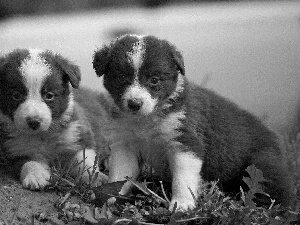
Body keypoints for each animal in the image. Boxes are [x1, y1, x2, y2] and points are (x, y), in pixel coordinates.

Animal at [0, 49, 107, 190]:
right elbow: (30, 162)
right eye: (16, 95)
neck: (44, 135)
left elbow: (84, 160)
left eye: (49, 95)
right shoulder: (16, 150)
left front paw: (94, 178)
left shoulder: (79, 135)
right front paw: (36, 176)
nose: (34, 122)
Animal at [92, 34, 294, 210]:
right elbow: (120, 175)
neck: (147, 120)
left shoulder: (185, 142)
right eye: (122, 78)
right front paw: (110, 197)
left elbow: (183, 179)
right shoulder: (125, 145)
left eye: (154, 80)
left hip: (262, 165)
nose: (134, 104)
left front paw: (181, 205)